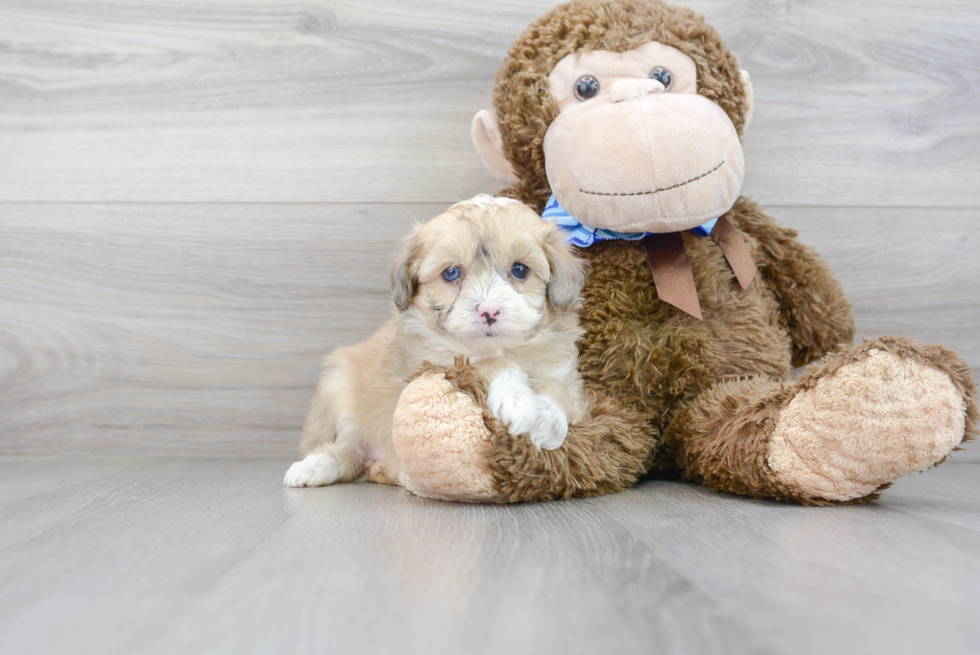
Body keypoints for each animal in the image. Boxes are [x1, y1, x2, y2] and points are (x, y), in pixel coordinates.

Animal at [286, 195, 588, 486]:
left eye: (520, 270)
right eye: (451, 273)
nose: (489, 311)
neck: (504, 348)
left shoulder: (565, 375)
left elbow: (559, 391)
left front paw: (548, 421)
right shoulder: (433, 363)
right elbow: (487, 363)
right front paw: (516, 398)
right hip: (340, 386)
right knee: (347, 450)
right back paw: (311, 468)